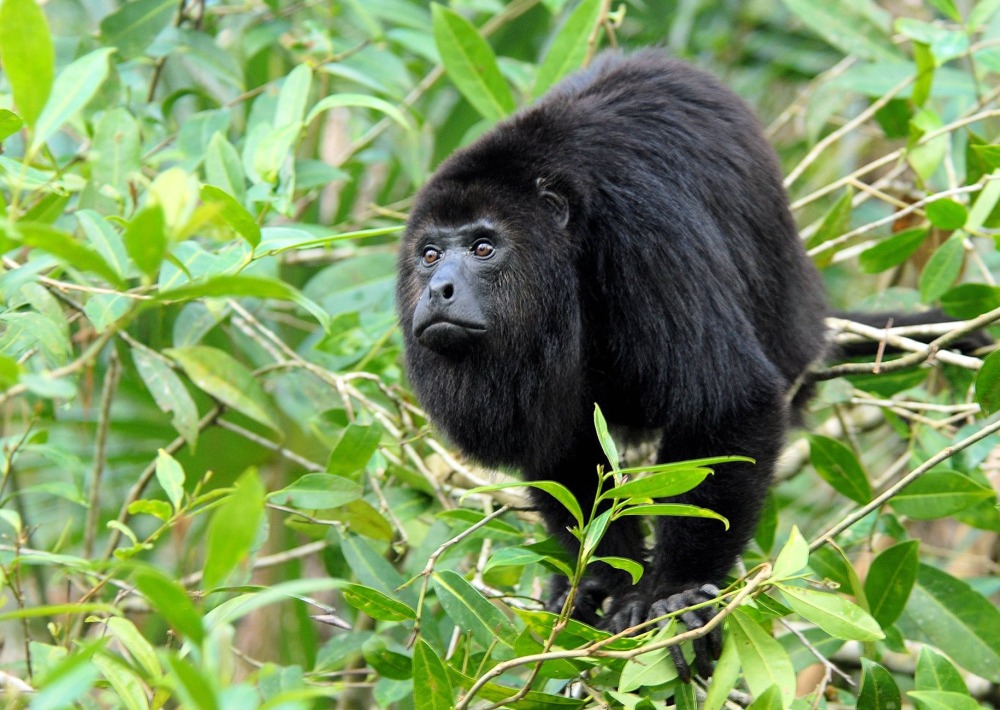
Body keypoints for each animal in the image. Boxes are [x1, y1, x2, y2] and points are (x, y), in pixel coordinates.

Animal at [394, 48, 832, 680]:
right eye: (429, 255)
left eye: (483, 247)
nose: (438, 288)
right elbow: (561, 449)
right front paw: (602, 582)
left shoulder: (642, 228)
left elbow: (729, 400)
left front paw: (674, 593)